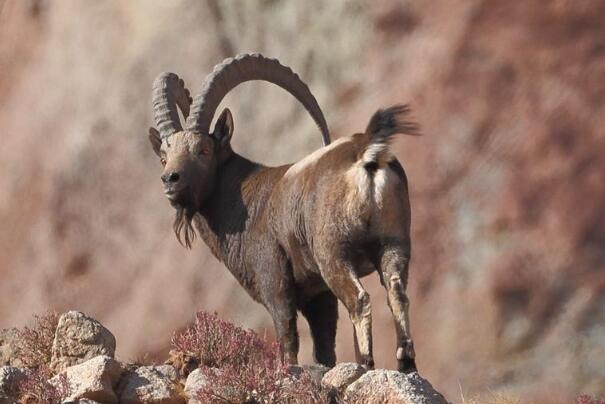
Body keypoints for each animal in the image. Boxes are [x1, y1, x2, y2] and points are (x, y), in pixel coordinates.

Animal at [149, 53, 418, 372]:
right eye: (163, 157)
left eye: (203, 150)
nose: (170, 179)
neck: (242, 199)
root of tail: (367, 153)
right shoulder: (318, 294)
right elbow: (324, 346)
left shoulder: (274, 281)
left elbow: (287, 337)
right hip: (393, 243)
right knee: (397, 294)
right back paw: (406, 364)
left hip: (334, 253)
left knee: (360, 300)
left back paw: (365, 365)